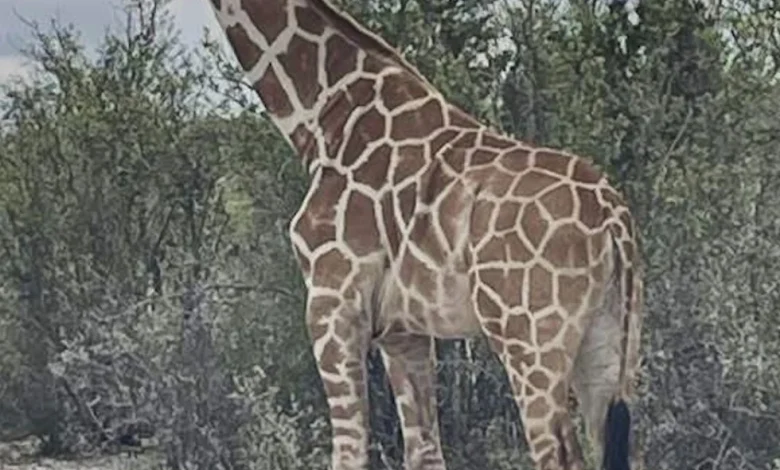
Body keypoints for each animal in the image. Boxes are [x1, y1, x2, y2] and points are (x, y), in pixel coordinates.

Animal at [204, 1, 644, 469]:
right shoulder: (402, 332)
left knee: (559, 453)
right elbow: (425, 451)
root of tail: (613, 216)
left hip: (530, 340)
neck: (324, 117)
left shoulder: (331, 304)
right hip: (610, 342)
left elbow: (350, 450)